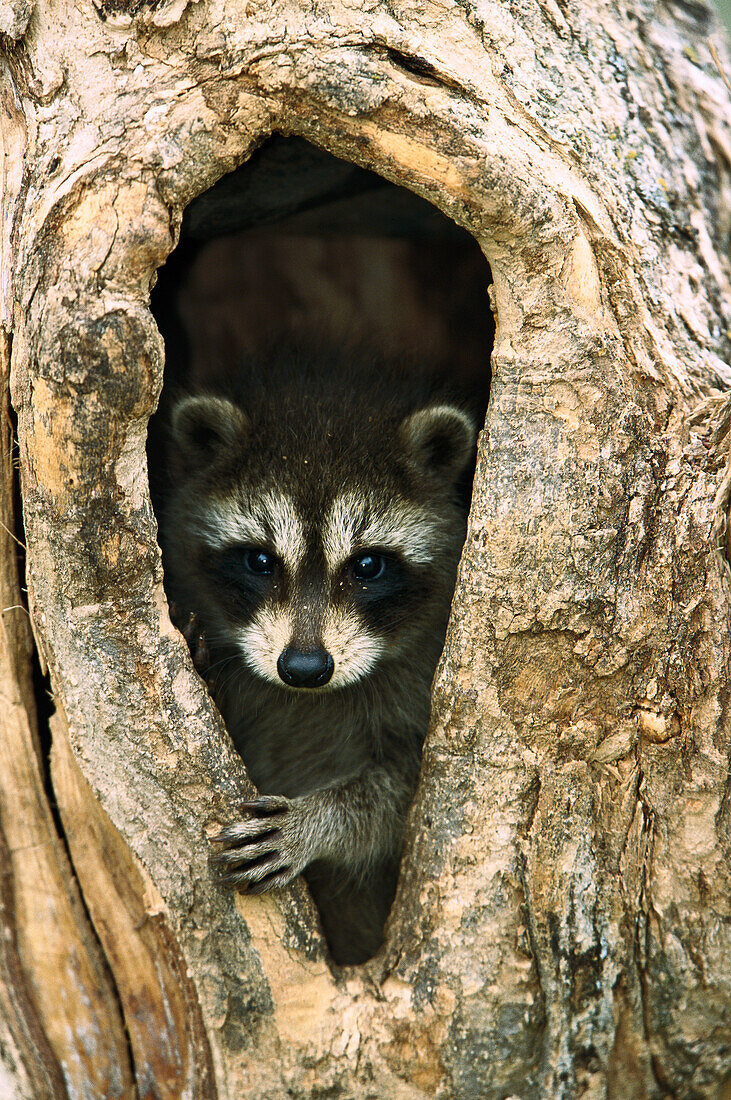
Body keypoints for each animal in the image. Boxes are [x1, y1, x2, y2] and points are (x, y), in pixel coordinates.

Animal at [160, 345, 477, 963]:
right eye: (259, 561)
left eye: (368, 566)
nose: (304, 668)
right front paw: (203, 668)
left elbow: (401, 803)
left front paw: (320, 820)